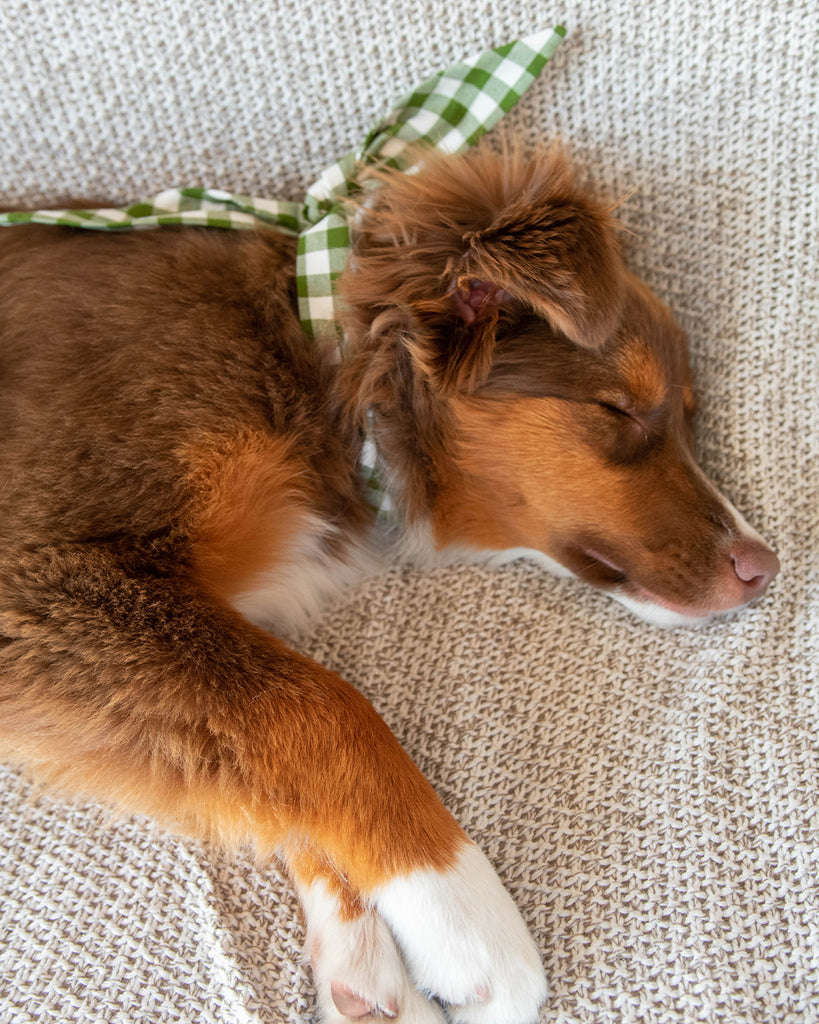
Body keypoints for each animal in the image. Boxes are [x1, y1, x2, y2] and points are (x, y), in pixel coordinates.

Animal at [0, 146, 782, 1024]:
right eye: (619, 408)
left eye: (687, 415)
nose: (764, 568)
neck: (315, 362)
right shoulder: (50, 574)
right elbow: (317, 706)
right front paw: (461, 912)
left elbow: (262, 760)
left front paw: (365, 963)